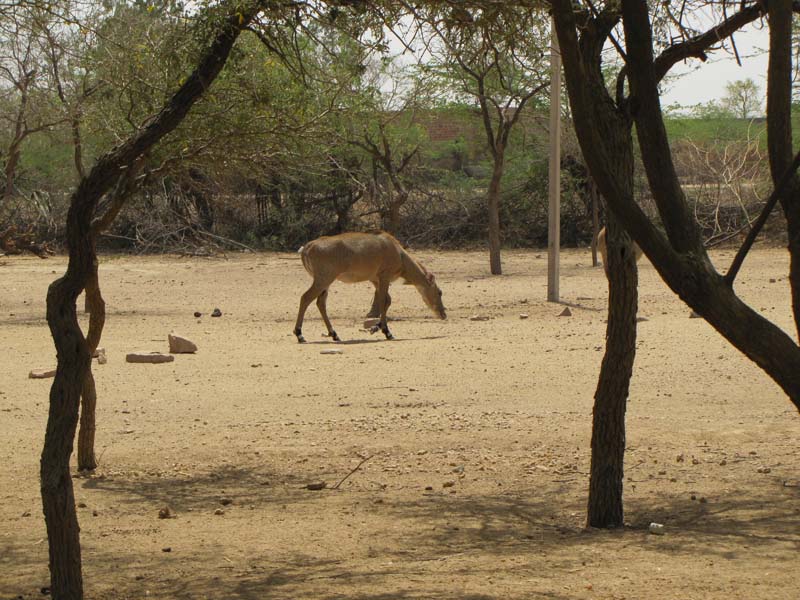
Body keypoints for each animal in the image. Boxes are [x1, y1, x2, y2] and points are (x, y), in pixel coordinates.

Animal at [294, 231, 446, 342]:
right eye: (440, 292)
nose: (443, 314)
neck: (399, 253)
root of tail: (307, 248)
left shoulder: (375, 279)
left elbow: (387, 301)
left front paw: (375, 327)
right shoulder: (384, 276)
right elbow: (384, 300)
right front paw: (387, 332)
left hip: (326, 282)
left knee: (320, 302)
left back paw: (334, 334)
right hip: (324, 278)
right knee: (305, 298)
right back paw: (300, 334)